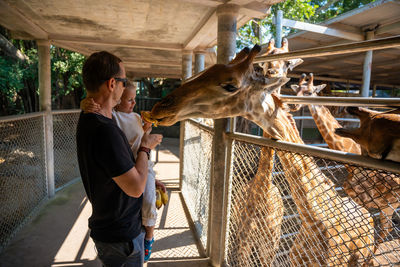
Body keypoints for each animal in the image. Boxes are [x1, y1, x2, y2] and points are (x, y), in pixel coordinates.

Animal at [290, 74, 400, 243]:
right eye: (296, 91)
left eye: (309, 92)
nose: (294, 105)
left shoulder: (366, 199)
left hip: (389, 205)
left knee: (385, 231)